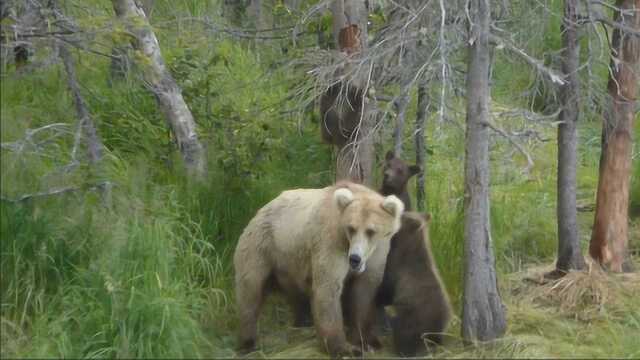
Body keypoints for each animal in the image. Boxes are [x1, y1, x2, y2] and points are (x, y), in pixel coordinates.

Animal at [235, 181, 402, 356]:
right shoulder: (331, 243)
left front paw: (366, 341)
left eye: (371, 231)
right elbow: (328, 288)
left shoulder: (378, 254)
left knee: (295, 294)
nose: (354, 259)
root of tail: (260, 211)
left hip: (289, 263)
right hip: (262, 247)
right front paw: (343, 348)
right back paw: (248, 341)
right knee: (250, 290)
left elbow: (364, 291)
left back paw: (302, 320)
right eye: (351, 228)